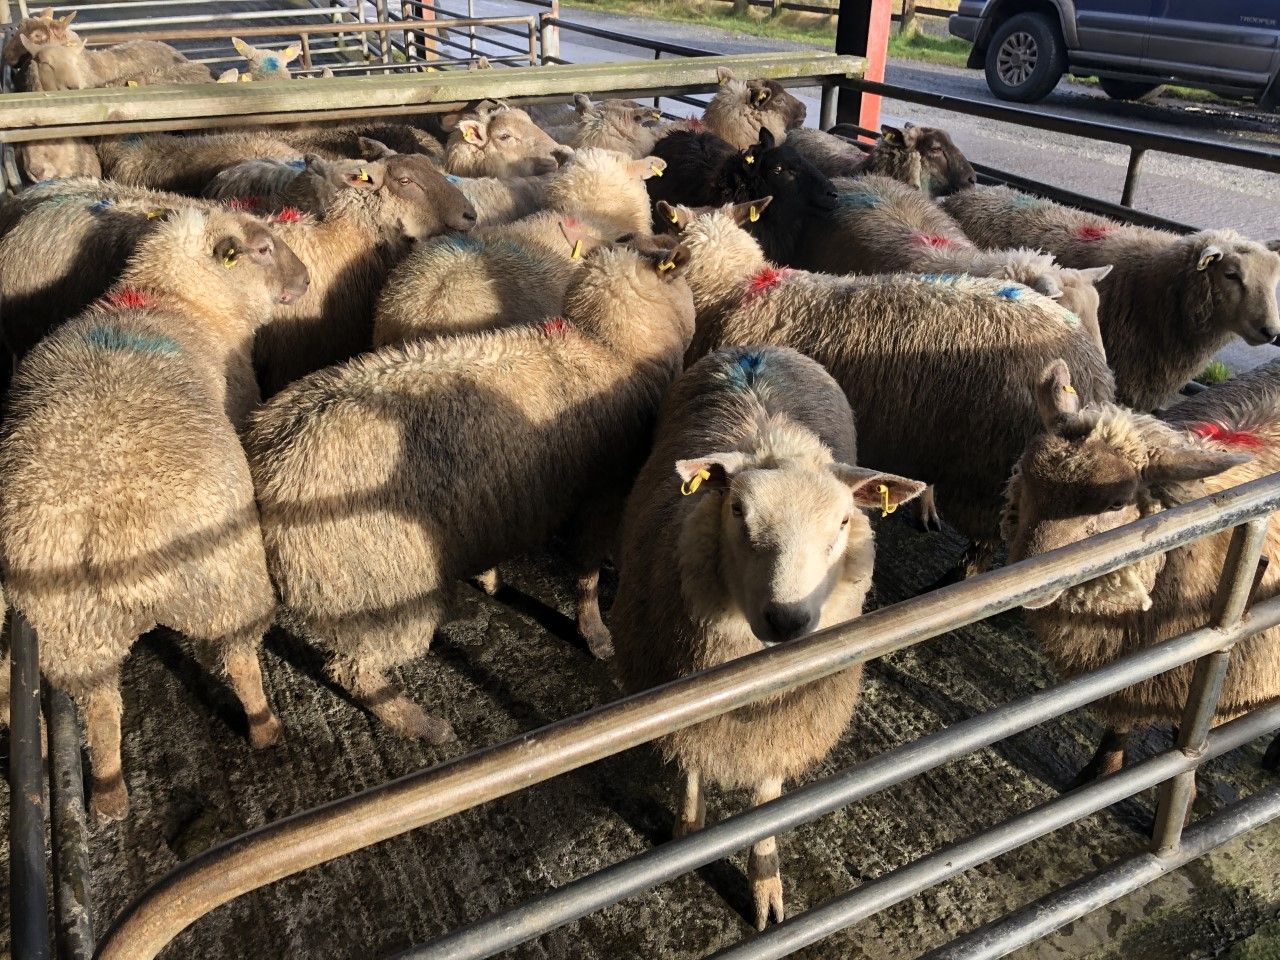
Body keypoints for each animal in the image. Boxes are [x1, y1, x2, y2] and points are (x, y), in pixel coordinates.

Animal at [0, 207, 309, 821]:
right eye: (263, 247)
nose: (307, 279)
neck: (175, 300)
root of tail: (111, 538)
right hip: (227, 584)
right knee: (239, 659)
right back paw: (265, 728)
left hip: (74, 633)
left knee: (101, 707)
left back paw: (110, 792)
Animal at [245, 241, 696, 741]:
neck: (606, 347)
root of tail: (266, 462)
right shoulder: (604, 495)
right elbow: (587, 573)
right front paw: (595, 635)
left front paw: (490, 578)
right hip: (379, 590)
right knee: (354, 670)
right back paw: (423, 725)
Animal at [613, 343, 924, 930]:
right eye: (737, 509)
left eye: (844, 522)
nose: (788, 619)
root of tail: (755, 350)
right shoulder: (682, 694)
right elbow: (692, 764)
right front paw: (689, 830)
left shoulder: (783, 721)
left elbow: (768, 797)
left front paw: (764, 880)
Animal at [1003, 358, 1280, 786]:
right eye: (1028, 473)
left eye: (1117, 503)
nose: (1028, 587)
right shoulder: (1133, 660)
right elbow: (1121, 719)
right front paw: (1103, 772)